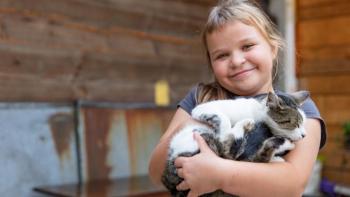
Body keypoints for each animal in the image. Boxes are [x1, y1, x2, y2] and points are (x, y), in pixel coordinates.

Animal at [161, 91, 308, 197]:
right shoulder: (202, 108)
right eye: (295, 124)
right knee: (227, 150)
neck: (256, 114)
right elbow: (224, 121)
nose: (304, 135)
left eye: (303, 123)